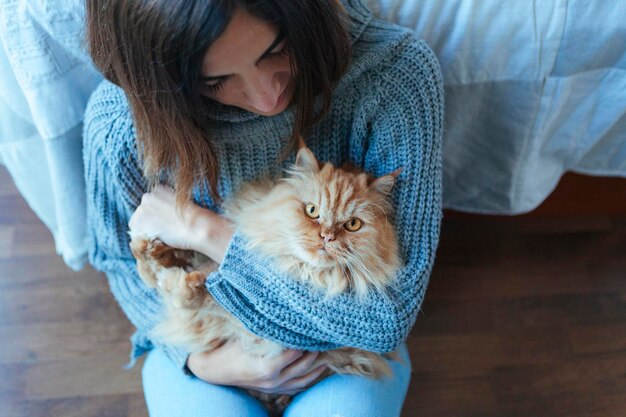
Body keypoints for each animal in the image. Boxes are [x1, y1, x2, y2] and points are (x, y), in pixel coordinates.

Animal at [130, 142, 402, 412]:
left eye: (353, 225)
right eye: (312, 211)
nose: (327, 236)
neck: (302, 268)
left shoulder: (265, 332)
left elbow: (207, 295)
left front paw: (181, 283)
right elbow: (164, 271)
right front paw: (148, 247)